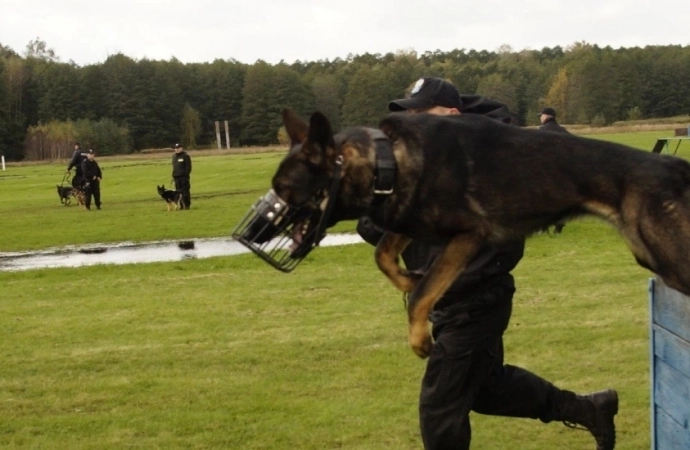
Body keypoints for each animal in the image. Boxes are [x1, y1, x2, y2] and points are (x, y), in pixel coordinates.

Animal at [238, 109, 690, 358]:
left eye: (282, 190)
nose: (251, 235)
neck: (387, 162)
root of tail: (674, 168)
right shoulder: (410, 222)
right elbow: (383, 256)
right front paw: (406, 278)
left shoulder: (470, 235)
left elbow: (422, 294)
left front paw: (419, 337)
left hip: (671, 260)